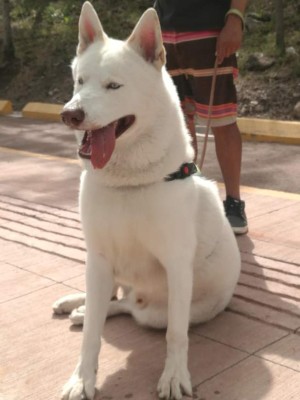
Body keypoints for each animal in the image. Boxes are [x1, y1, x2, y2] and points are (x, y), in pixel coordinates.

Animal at [53, 2, 241, 396]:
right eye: (80, 82)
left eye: (114, 86)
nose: (70, 114)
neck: (130, 183)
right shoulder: (98, 258)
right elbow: (92, 335)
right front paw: (82, 378)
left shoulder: (176, 266)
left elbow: (176, 335)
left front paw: (174, 375)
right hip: (102, 270)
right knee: (113, 300)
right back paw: (78, 305)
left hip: (160, 310)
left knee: (129, 307)